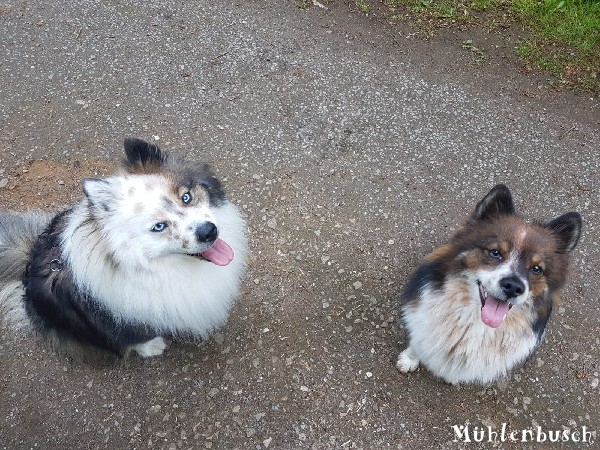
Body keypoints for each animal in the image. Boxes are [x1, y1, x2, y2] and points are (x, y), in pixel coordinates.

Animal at [396, 185, 584, 384]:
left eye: (536, 268)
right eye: (495, 252)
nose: (513, 287)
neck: (476, 323)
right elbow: (418, 342)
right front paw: (409, 360)